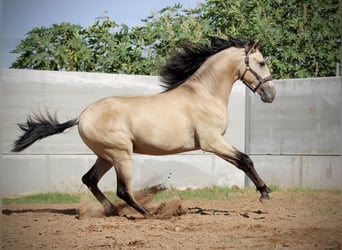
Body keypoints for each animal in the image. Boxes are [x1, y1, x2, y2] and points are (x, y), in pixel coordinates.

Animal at [12, 36, 276, 216]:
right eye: (261, 63)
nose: (271, 94)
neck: (204, 94)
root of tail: (82, 115)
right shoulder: (211, 142)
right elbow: (244, 160)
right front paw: (264, 193)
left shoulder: (214, 143)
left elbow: (242, 161)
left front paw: (264, 193)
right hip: (121, 155)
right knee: (122, 190)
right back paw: (150, 213)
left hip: (106, 156)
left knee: (90, 180)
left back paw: (113, 211)